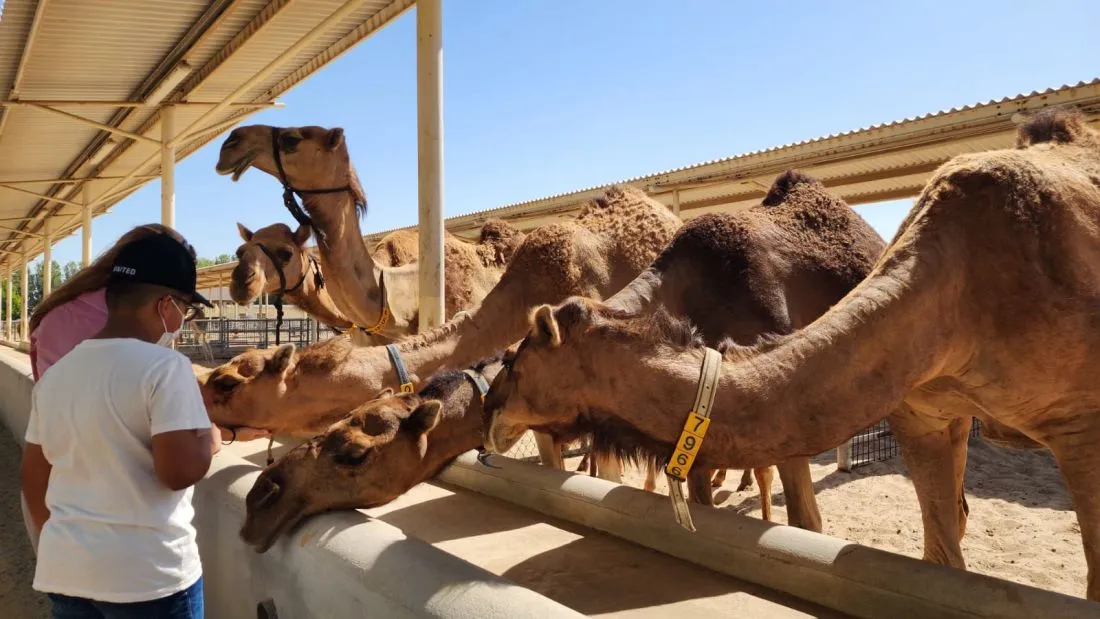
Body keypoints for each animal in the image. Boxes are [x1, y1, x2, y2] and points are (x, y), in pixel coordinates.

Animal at [484, 106, 1100, 601]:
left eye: (515, 360)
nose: (490, 412)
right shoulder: (922, 411)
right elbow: (939, 556)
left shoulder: (1080, 426)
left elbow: (809, 520)